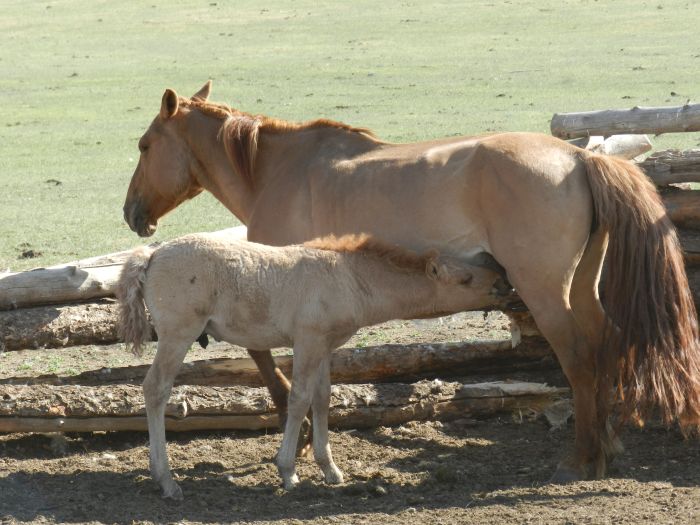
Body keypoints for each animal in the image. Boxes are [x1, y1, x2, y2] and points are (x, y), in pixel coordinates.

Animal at [123, 81, 696, 478]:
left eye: (145, 145)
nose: (132, 213)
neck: (278, 171)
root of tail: (578, 156)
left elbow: (268, 362)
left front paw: (299, 436)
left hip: (545, 292)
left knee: (577, 357)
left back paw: (581, 459)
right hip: (583, 286)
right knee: (605, 343)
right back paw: (609, 447)